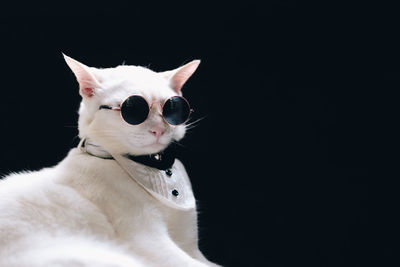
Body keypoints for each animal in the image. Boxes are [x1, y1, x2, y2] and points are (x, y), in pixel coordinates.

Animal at [0, 55, 220, 267]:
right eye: (132, 109)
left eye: (172, 107)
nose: (158, 129)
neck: (155, 165)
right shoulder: (149, 240)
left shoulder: (190, 245)